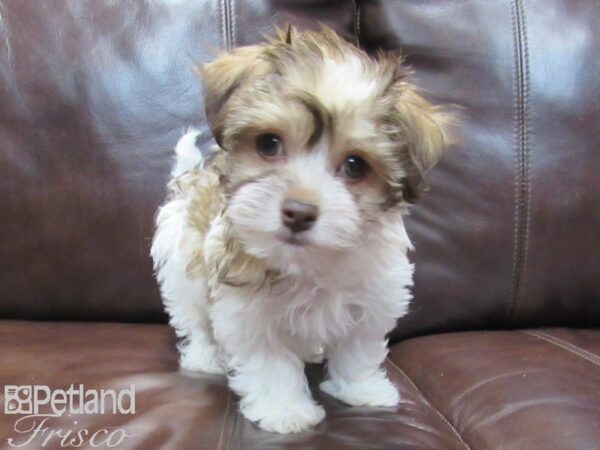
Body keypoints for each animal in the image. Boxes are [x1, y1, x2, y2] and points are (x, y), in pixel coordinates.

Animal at [151, 26, 450, 434]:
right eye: (269, 143)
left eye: (355, 165)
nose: (298, 213)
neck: (311, 262)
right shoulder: (246, 311)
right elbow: (270, 363)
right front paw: (285, 410)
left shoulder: (376, 296)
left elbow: (358, 348)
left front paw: (361, 390)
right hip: (185, 267)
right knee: (196, 319)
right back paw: (205, 357)